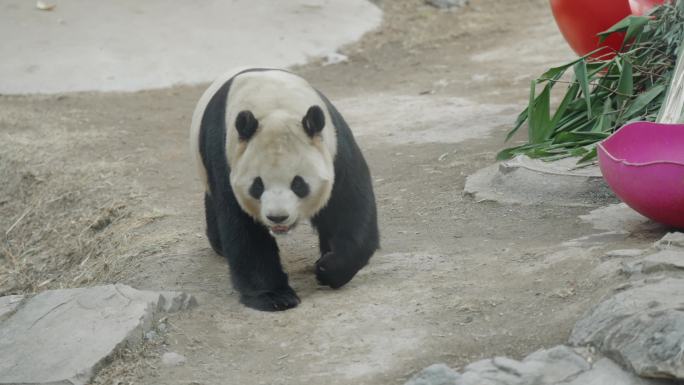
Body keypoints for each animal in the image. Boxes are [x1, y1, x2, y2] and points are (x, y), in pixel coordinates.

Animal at [190, 68, 380, 308]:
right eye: (258, 185)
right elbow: (244, 228)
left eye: (298, 183)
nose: (277, 217)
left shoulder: (335, 147)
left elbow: (349, 206)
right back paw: (220, 245)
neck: (274, 106)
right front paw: (275, 296)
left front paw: (327, 268)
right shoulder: (226, 155)